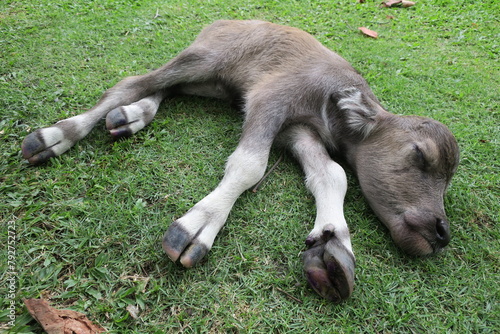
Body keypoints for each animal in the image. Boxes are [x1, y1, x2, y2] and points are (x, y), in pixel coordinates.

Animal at [21, 20, 458, 302]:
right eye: (420, 155)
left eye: (447, 177)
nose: (441, 231)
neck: (328, 102)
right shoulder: (270, 100)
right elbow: (250, 165)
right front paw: (198, 226)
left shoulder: (298, 131)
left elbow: (333, 174)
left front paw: (334, 243)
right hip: (204, 59)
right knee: (134, 82)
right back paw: (56, 136)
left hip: (210, 83)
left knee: (164, 89)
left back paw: (131, 116)